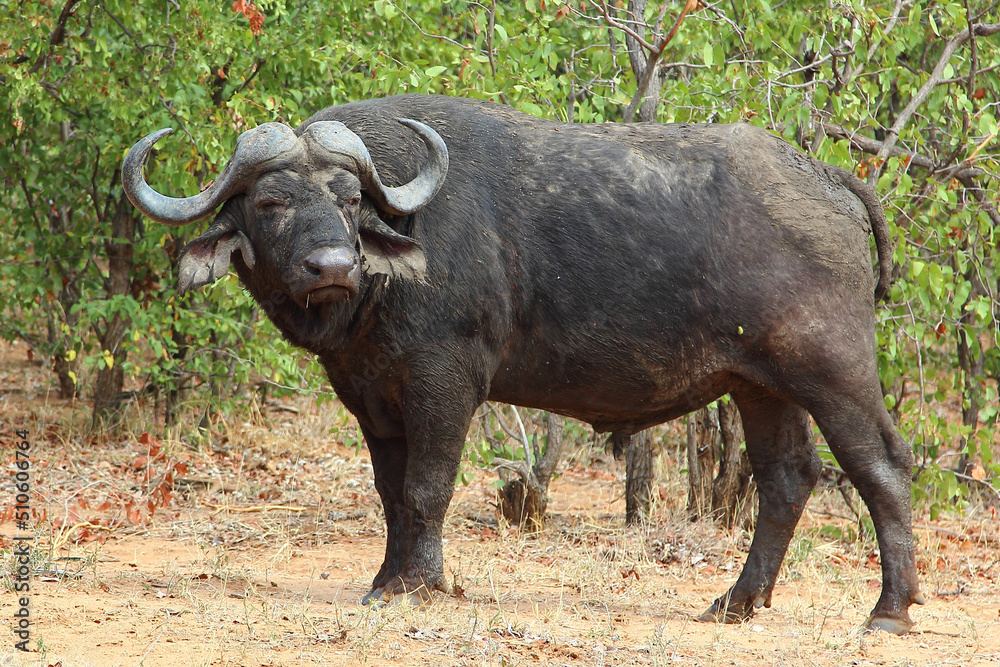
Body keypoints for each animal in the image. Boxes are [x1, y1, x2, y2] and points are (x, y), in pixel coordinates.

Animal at [123, 92, 920, 632]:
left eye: (349, 199)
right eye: (270, 203)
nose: (333, 266)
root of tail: (827, 177)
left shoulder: (445, 382)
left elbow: (427, 489)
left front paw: (425, 583)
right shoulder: (369, 396)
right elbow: (390, 495)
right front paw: (386, 578)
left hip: (834, 371)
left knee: (881, 467)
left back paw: (889, 607)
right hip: (760, 386)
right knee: (787, 479)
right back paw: (737, 601)